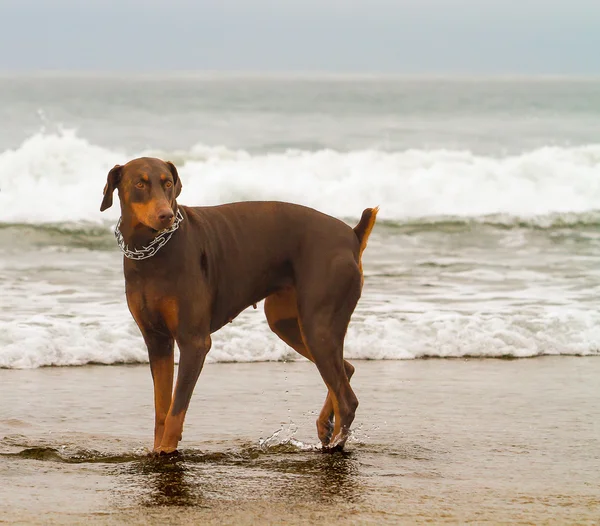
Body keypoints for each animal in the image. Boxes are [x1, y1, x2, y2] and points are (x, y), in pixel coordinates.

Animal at [101, 156, 378, 454]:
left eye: (167, 183)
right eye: (140, 184)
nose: (166, 215)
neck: (152, 252)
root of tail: (352, 235)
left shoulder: (193, 341)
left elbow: (176, 410)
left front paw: (166, 451)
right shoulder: (157, 341)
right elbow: (162, 409)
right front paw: (158, 449)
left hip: (318, 326)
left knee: (347, 398)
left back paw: (334, 444)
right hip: (287, 323)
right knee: (345, 371)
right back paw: (325, 425)